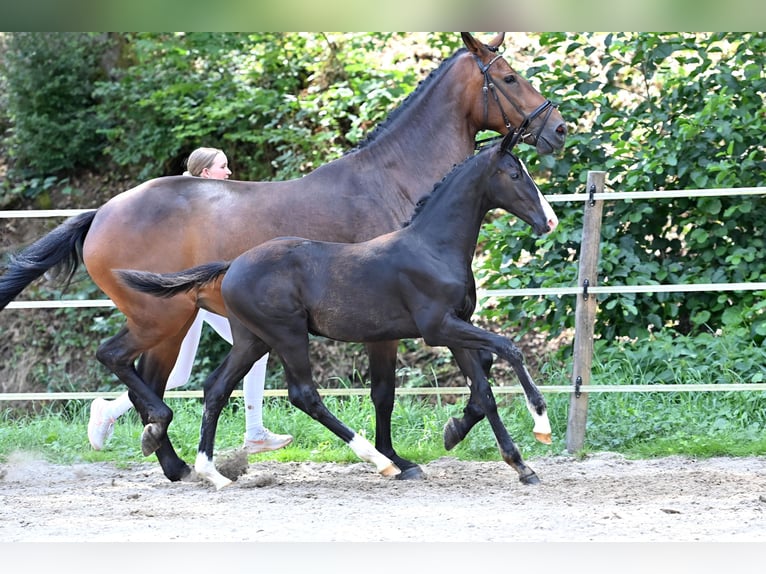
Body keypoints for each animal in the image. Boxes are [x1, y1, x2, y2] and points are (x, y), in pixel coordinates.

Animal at [118, 130, 560, 490]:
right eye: (515, 174)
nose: (550, 221)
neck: (432, 247)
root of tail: (232, 266)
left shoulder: (457, 326)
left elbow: (484, 389)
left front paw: (517, 463)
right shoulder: (439, 327)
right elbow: (509, 351)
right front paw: (540, 425)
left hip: (253, 340)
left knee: (216, 388)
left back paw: (211, 472)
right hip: (287, 335)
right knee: (303, 394)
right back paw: (380, 461)